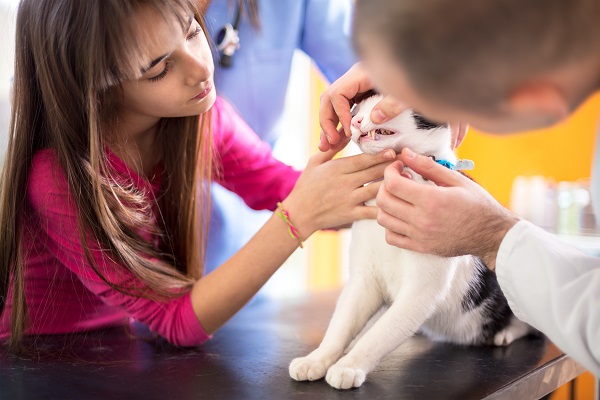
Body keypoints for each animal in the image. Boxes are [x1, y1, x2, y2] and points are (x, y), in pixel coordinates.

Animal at [288, 94, 536, 388]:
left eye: (377, 106)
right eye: (358, 108)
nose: (357, 120)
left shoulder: (421, 291)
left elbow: (380, 333)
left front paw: (349, 366)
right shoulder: (363, 279)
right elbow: (341, 324)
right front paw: (316, 359)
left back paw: (505, 333)